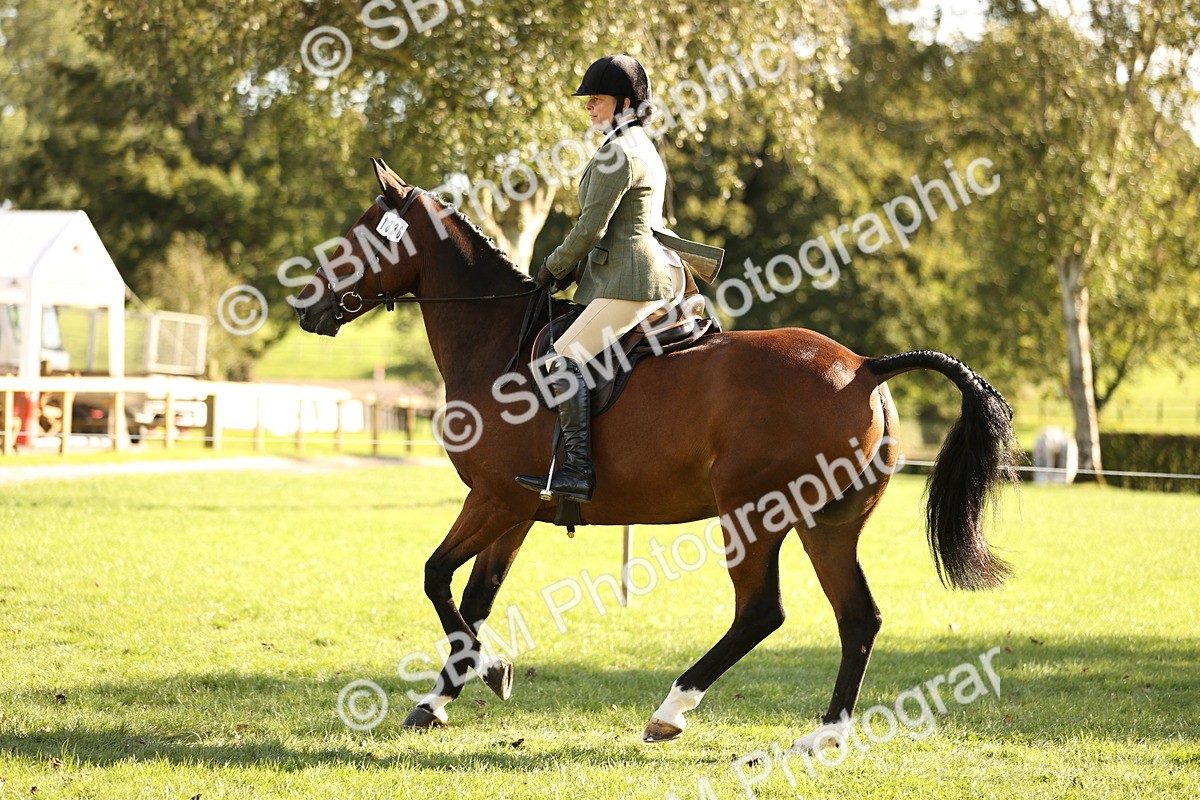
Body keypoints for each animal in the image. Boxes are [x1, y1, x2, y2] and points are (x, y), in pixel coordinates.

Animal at [294, 159, 1020, 751]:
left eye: (363, 236)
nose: (306, 307)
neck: (496, 343)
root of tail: (866, 368)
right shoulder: (515, 507)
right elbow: (473, 598)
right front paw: (441, 698)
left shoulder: (494, 498)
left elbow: (437, 579)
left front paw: (488, 671)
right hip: (830, 523)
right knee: (858, 616)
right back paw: (825, 735)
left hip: (753, 513)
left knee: (762, 612)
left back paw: (672, 710)